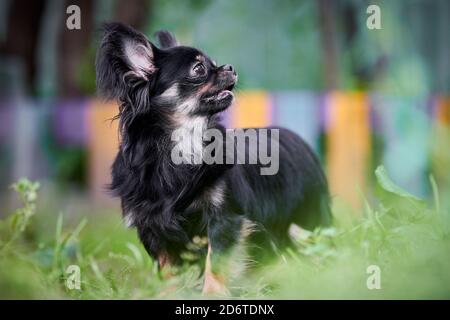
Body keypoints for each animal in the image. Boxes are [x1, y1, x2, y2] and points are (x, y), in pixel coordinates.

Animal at [96, 22, 330, 296]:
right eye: (199, 69)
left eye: (216, 63)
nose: (230, 67)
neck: (183, 144)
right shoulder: (153, 227)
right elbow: (167, 270)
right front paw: (167, 295)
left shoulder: (224, 219)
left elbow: (215, 262)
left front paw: (212, 294)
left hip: (311, 220)